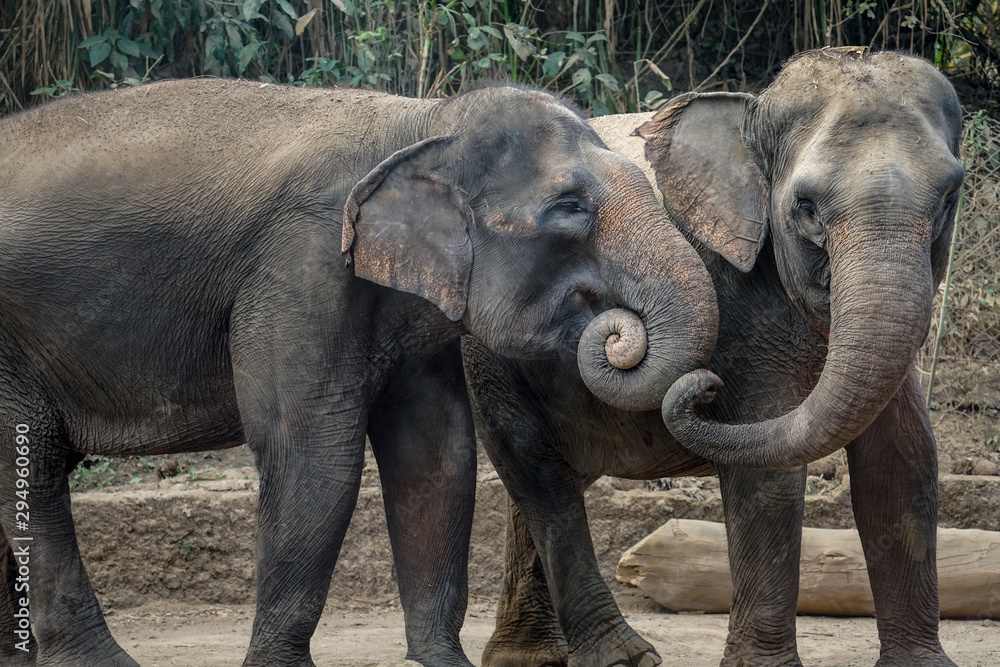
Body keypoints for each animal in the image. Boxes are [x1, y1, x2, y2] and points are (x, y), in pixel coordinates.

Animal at [0, 80, 719, 666]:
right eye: (570, 206)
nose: (617, 329)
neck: (420, 122)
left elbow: (436, 456)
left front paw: (442, 664)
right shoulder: (299, 269)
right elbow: (314, 454)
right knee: (32, 466)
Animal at [462, 47, 962, 666]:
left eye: (950, 198)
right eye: (806, 208)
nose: (702, 387)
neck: (751, 112)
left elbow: (904, 461)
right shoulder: (731, 299)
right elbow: (769, 476)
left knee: (543, 482)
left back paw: (529, 657)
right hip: (492, 356)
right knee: (535, 469)